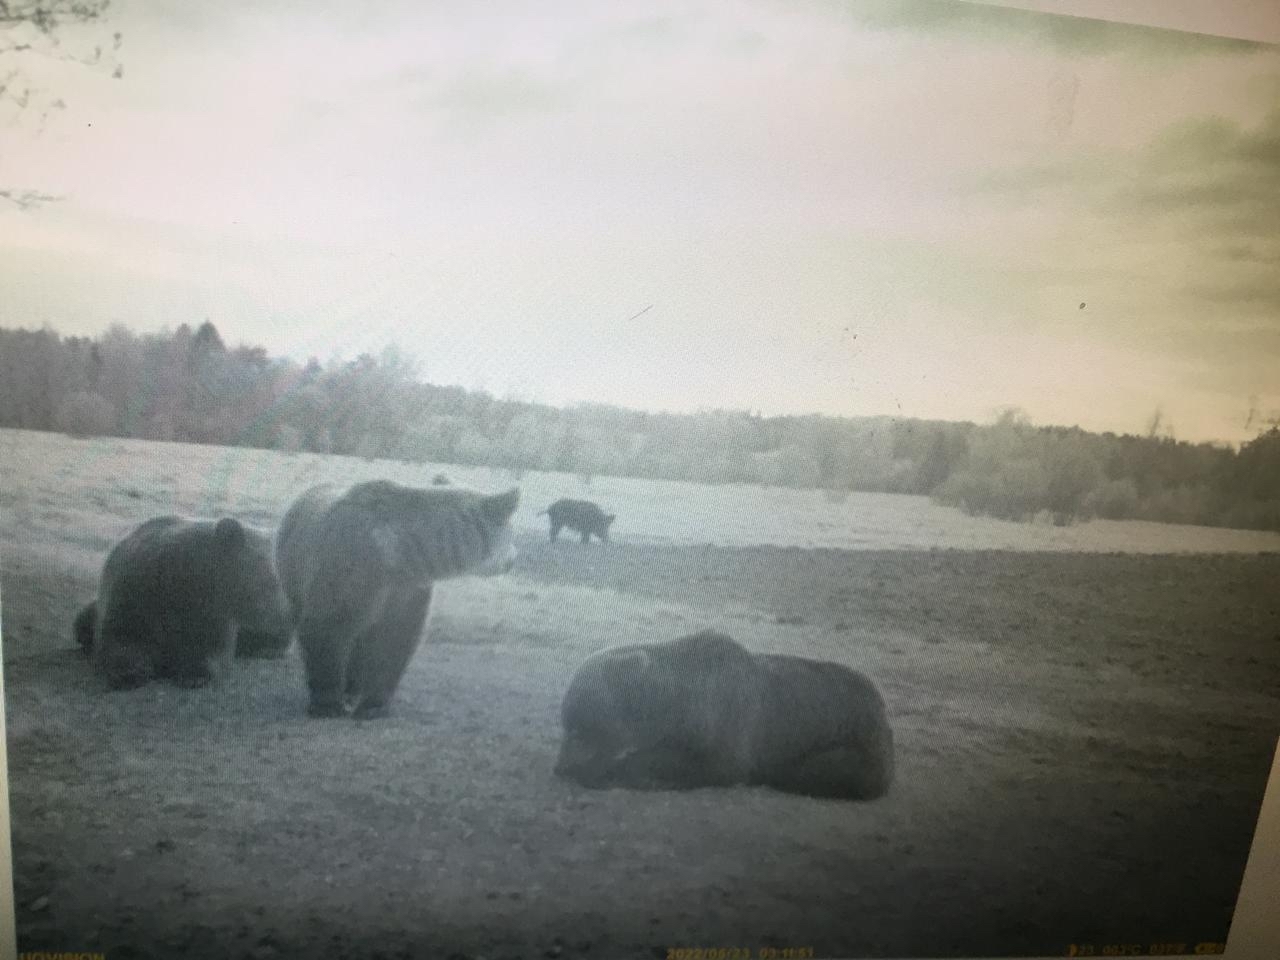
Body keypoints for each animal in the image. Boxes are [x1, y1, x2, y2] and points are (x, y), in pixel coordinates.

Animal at [76, 519, 293, 691]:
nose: (288, 615)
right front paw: (129, 673)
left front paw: (195, 674)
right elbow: (120, 640)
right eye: (273, 579)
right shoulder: (134, 595)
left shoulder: (212, 615)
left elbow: (210, 650)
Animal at [555, 632, 896, 803]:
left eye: (579, 727)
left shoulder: (730, 728)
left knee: (824, 771)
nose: (562, 768)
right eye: (568, 724)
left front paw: (635, 774)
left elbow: (715, 766)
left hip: (854, 743)